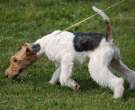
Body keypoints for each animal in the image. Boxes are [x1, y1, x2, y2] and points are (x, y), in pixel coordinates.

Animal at [5, 6, 135, 98]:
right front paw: (50, 83)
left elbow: (63, 78)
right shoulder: (63, 63)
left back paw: (117, 96)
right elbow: (57, 74)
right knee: (130, 73)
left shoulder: (67, 59)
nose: (6, 75)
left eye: (15, 60)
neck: (43, 45)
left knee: (117, 80)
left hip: (97, 65)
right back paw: (132, 87)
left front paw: (74, 86)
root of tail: (108, 39)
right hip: (115, 61)